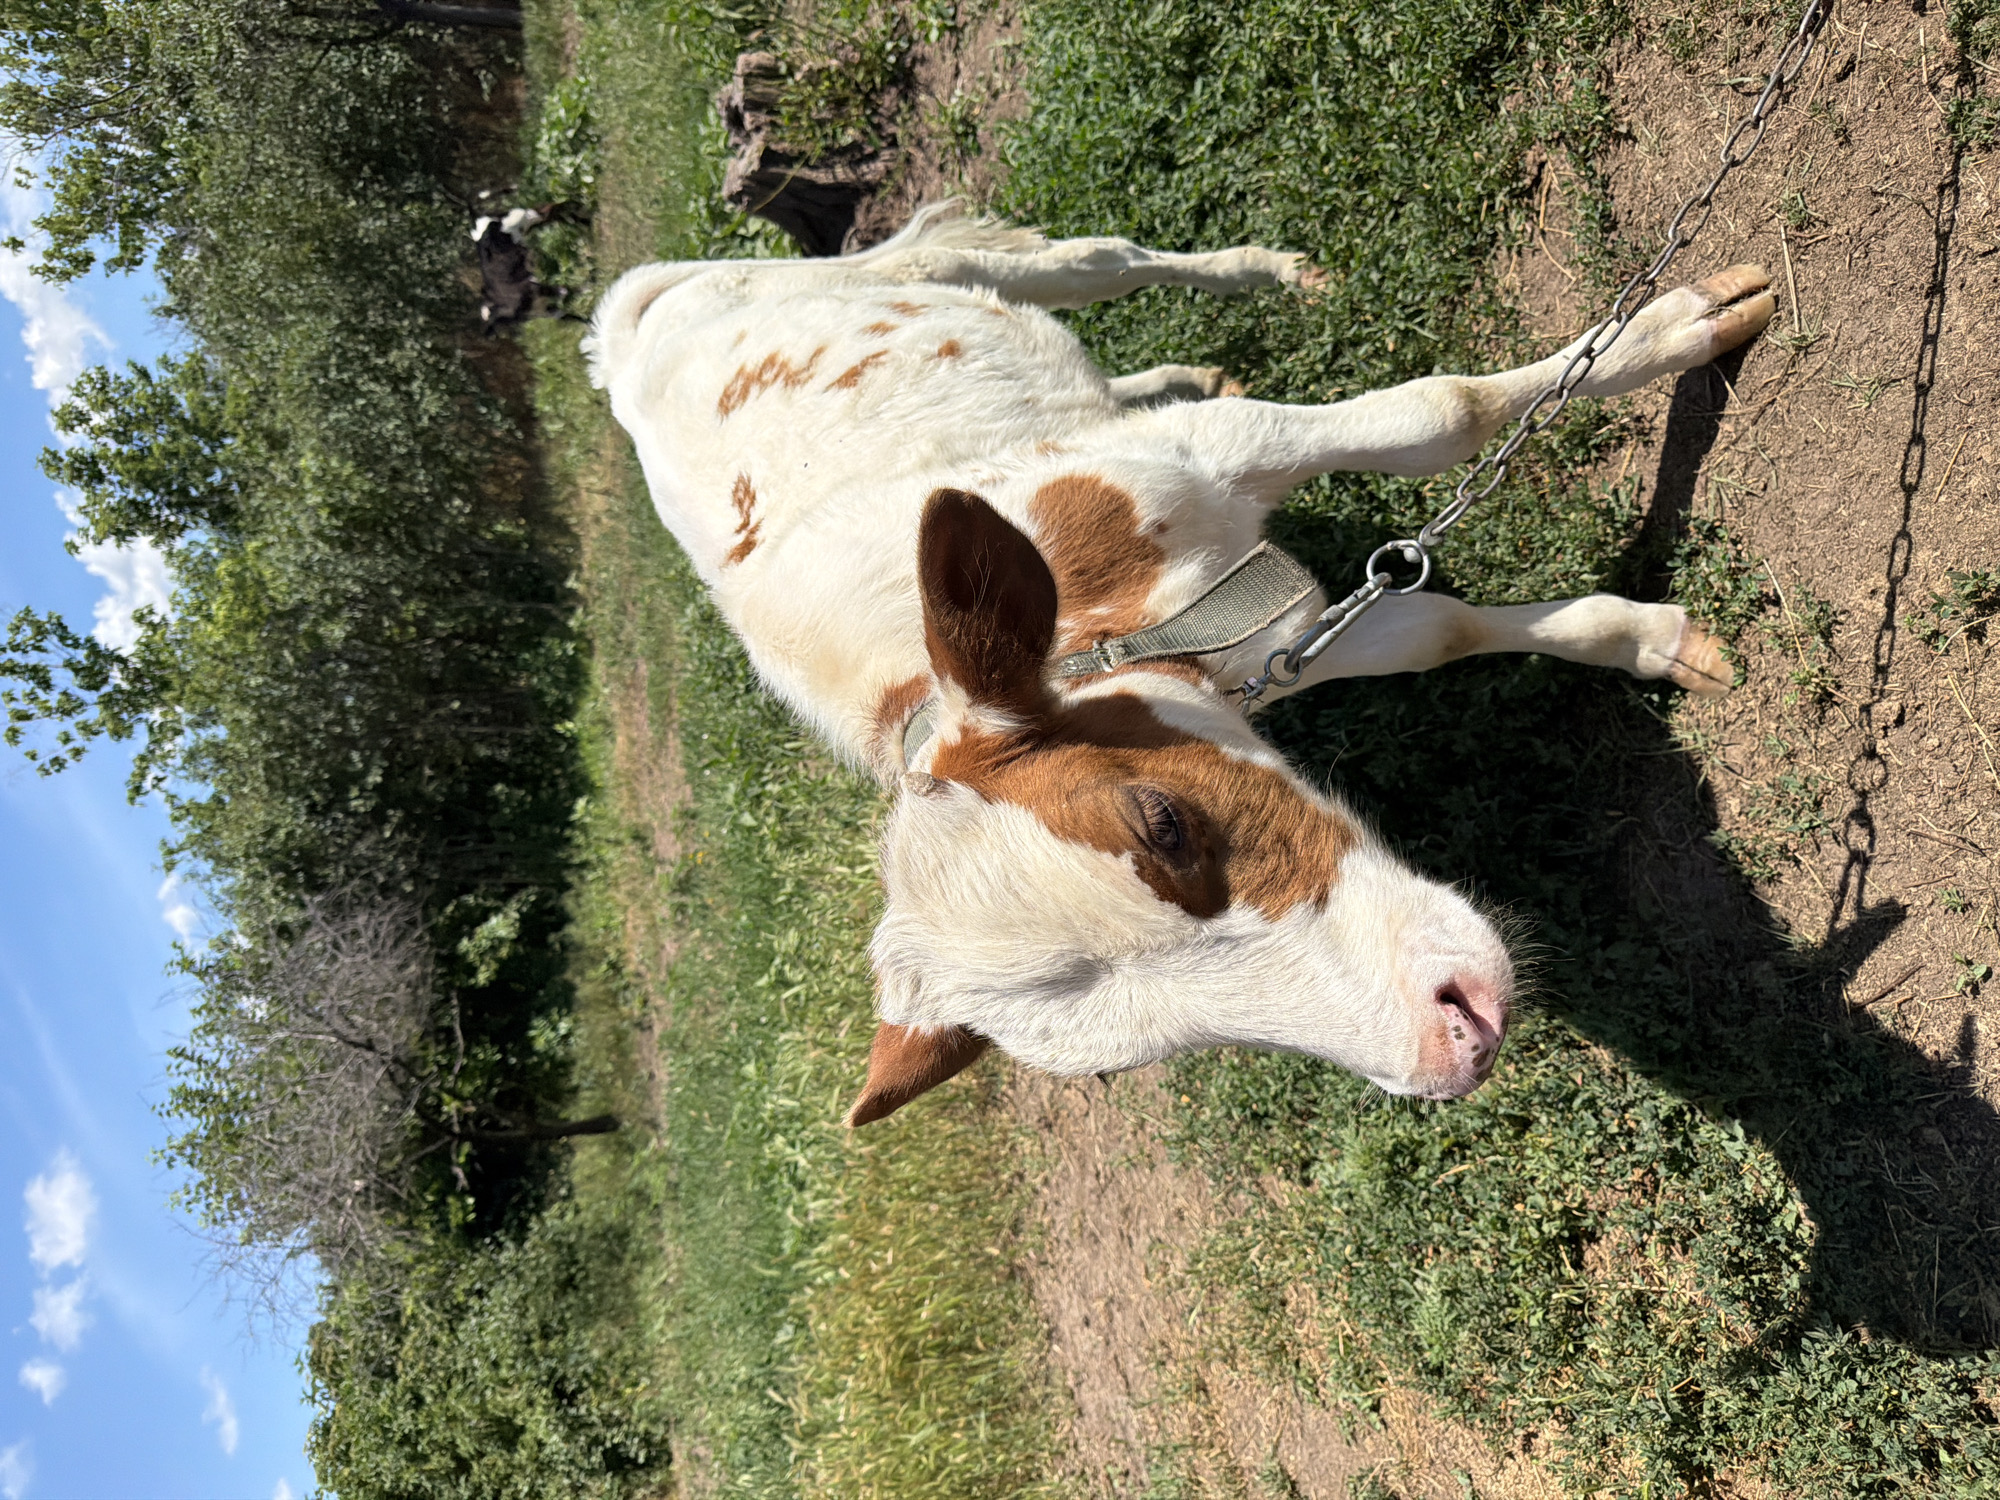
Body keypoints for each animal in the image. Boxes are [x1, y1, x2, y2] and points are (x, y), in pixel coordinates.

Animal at [584, 204, 1773, 1126]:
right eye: (1159, 1046)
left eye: (1162, 824)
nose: (1461, 1040)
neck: (1103, 636)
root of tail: (627, 328)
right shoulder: (1266, 649)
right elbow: (1434, 628)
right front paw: (1651, 641)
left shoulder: (1205, 457)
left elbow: (1441, 412)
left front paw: (1673, 328)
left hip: (910, 277)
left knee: (1094, 259)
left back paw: (1266, 274)